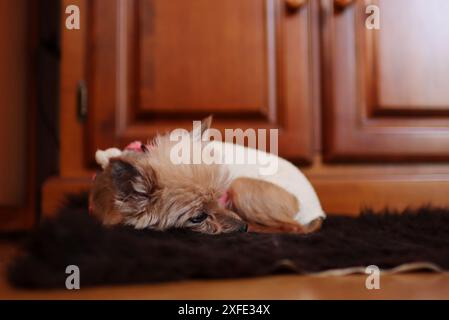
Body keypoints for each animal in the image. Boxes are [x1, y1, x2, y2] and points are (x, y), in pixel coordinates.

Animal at [89, 117, 324, 235]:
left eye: (221, 197)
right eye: (198, 217)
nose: (243, 227)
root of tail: (317, 212)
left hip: (241, 186)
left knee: (292, 227)